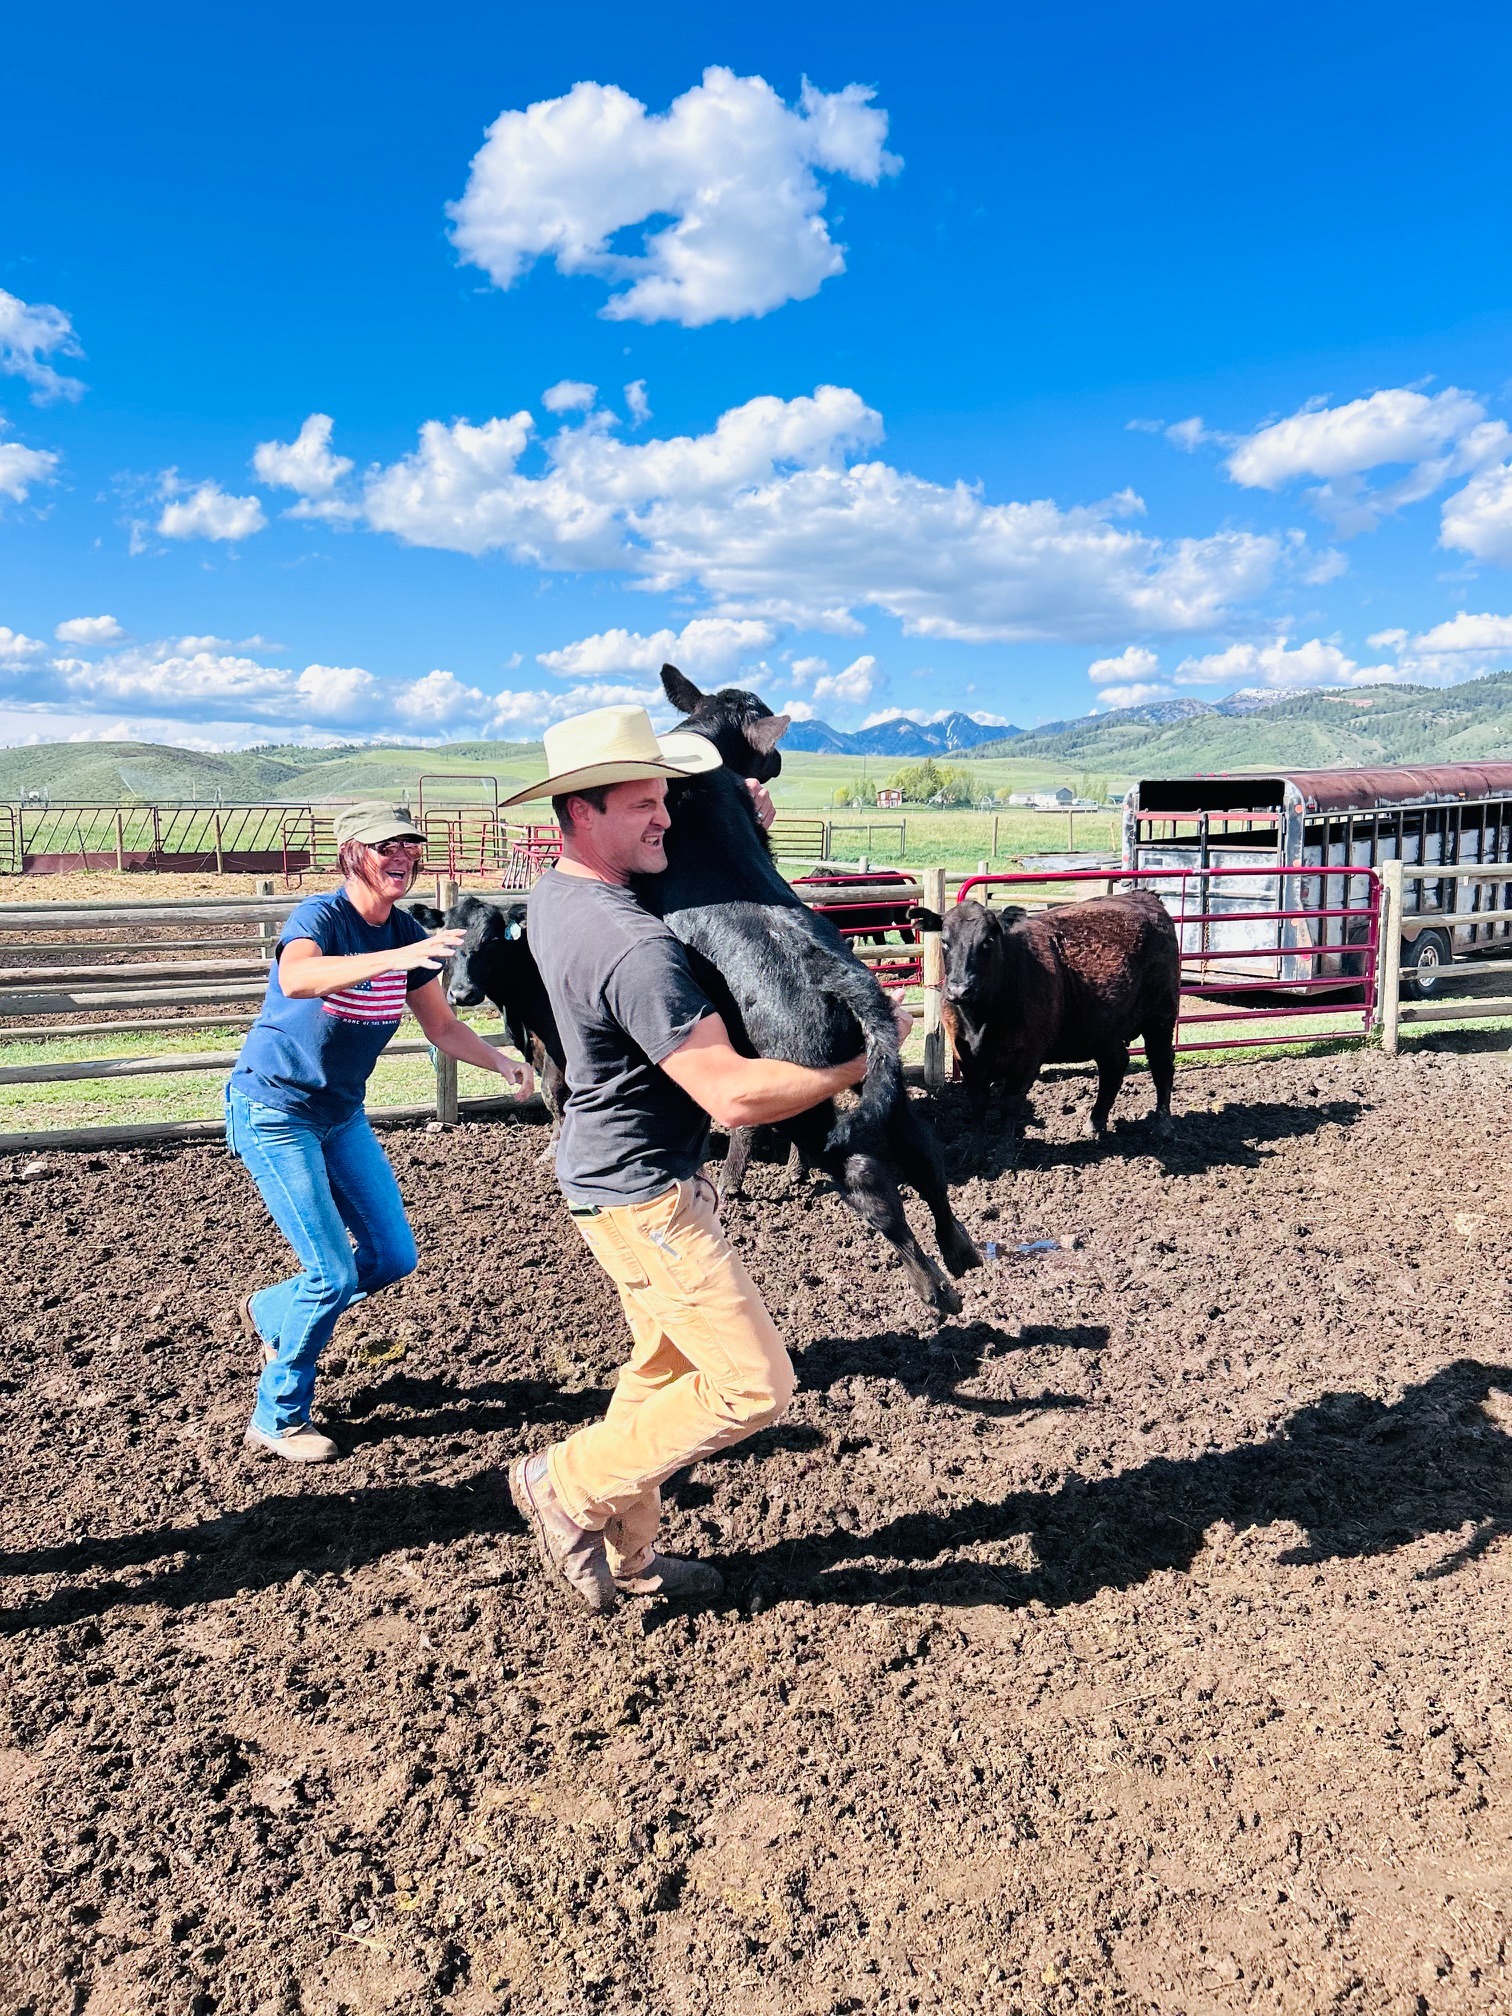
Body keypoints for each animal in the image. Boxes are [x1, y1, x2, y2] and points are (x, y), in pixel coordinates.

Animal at [639, 664, 980, 1319]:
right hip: (878, 1084)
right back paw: (960, 1253)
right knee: (922, 1154)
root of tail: (843, 980)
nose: (774, 762)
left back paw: (935, 1289)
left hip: (808, 1099)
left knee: (867, 1182)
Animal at [932, 890, 1180, 1154]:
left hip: (1160, 1019)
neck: (980, 1021)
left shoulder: (1027, 1058)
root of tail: (1143, 896)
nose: (959, 990)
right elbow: (978, 1103)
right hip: (1103, 1030)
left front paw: (1004, 1152)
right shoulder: (965, 1055)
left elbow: (1009, 1103)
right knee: (1114, 1065)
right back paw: (1094, 1122)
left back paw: (1162, 1126)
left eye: (987, 940)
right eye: (944, 941)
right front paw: (974, 1151)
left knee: (1162, 1064)